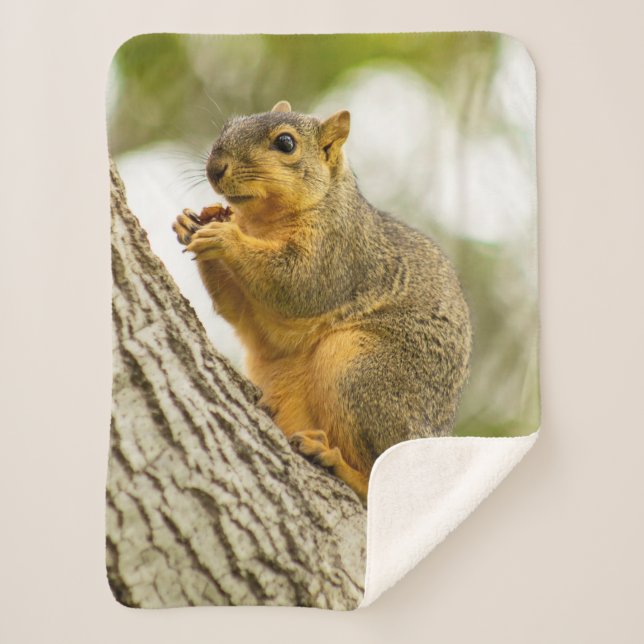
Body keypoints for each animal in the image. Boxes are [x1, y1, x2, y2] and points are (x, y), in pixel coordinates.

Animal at [172, 100, 472, 503]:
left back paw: (334, 461)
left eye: (285, 143)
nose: (215, 168)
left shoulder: (338, 252)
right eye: (229, 126)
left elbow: (298, 284)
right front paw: (190, 221)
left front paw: (225, 235)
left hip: (359, 369)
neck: (262, 224)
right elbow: (237, 312)